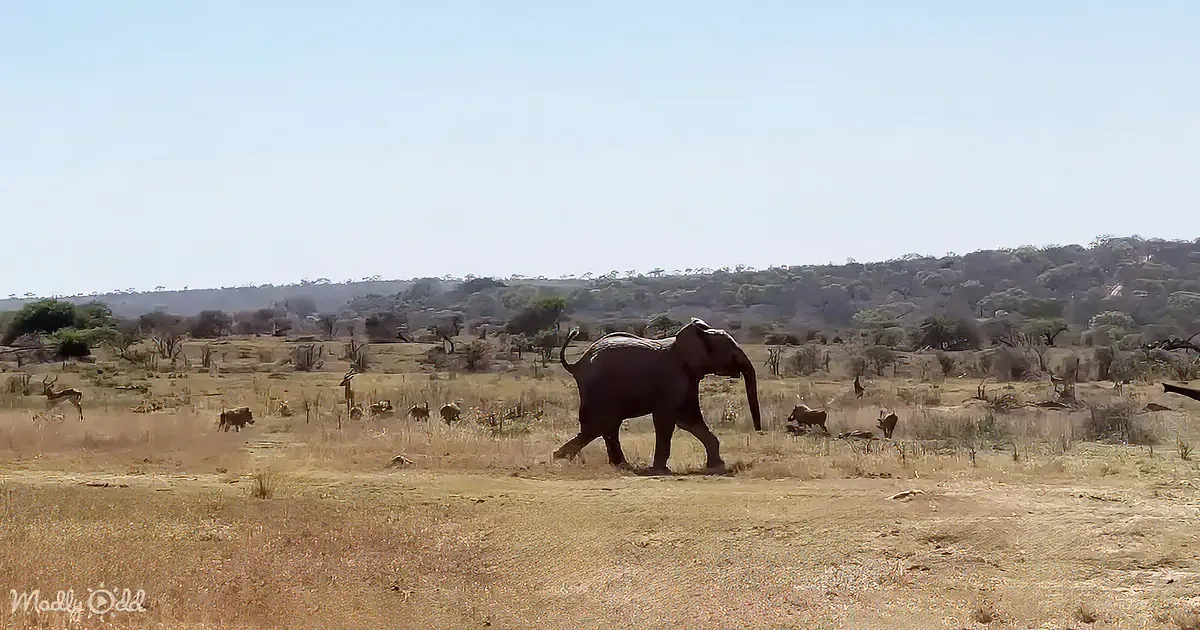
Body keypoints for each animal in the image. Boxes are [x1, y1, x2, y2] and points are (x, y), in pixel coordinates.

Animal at [554, 317, 762, 473]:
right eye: (730, 351)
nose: (759, 431)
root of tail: (577, 364)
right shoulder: (672, 379)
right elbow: (667, 420)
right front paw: (661, 470)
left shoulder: (688, 379)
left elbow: (689, 420)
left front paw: (717, 466)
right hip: (600, 390)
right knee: (599, 425)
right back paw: (559, 459)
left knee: (605, 426)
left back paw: (617, 465)